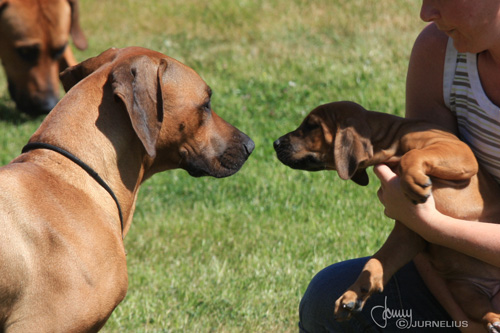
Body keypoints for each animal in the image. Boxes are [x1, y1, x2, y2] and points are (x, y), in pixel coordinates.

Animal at [276, 100, 500, 330]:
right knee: (479, 306)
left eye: (311, 125)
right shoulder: (410, 232)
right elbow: (377, 260)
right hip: (464, 289)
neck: (392, 143)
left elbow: (413, 154)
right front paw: (354, 294)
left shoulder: (457, 150)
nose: (275, 143)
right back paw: (494, 320)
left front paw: (413, 181)